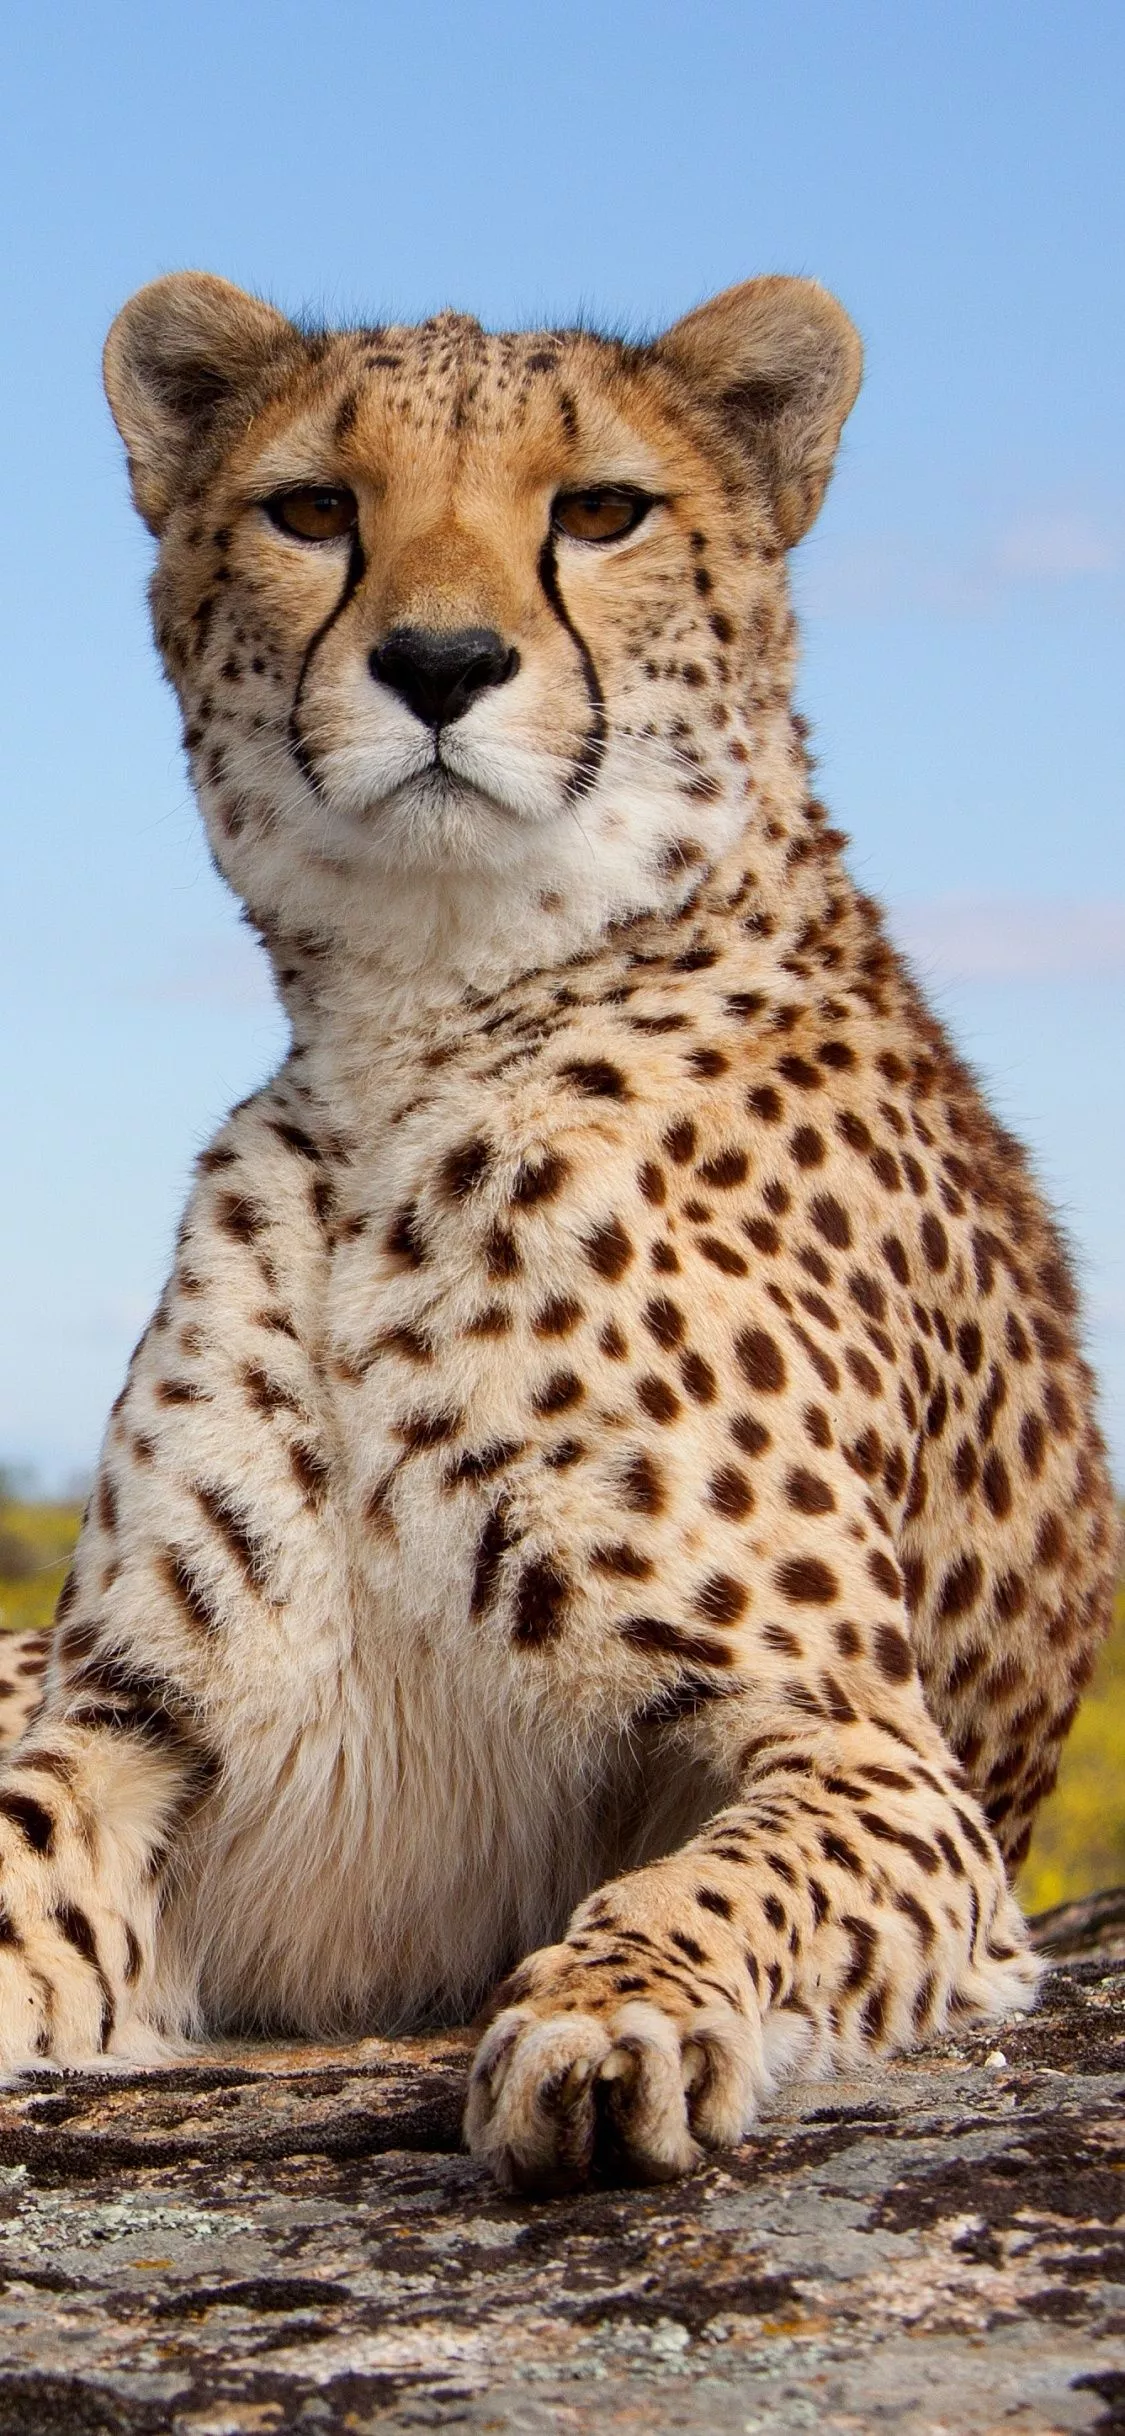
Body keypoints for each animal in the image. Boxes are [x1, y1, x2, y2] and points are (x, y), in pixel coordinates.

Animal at [0, 269, 1115, 2195]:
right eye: (315, 509)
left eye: (598, 512)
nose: (441, 665)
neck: (424, 1025)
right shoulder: (127, 1720)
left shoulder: (868, 1752)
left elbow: (729, 1875)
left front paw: (616, 2016)